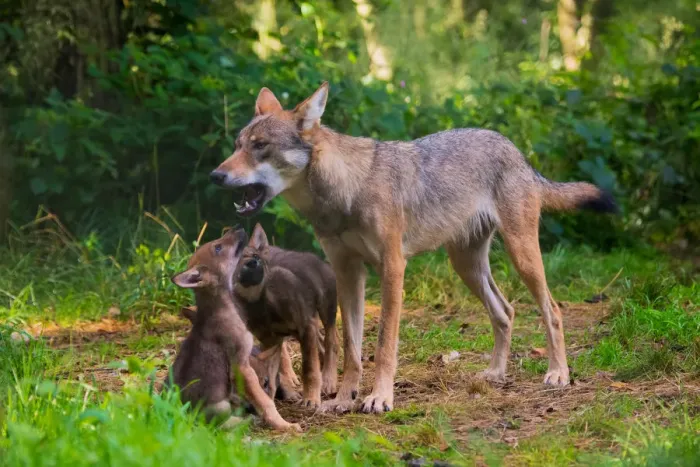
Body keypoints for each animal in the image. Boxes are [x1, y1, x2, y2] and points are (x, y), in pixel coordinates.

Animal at [209, 82, 617, 414]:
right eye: (238, 146)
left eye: (260, 147)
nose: (215, 175)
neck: (346, 192)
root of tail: (517, 151)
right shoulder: (348, 273)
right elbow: (352, 349)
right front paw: (342, 399)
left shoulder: (393, 269)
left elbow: (383, 345)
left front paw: (379, 398)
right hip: (466, 266)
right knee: (506, 311)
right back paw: (495, 374)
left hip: (522, 257)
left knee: (552, 309)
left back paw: (557, 373)